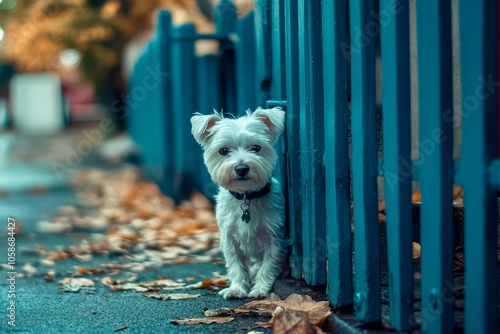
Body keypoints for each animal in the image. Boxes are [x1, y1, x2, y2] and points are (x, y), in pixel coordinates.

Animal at [191, 108, 286, 298]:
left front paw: (260, 289)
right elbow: (235, 264)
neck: (246, 197)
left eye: (256, 148)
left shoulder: (274, 237)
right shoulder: (229, 237)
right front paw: (237, 288)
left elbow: (268, 264)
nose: (241, 168)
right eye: (223, 150)